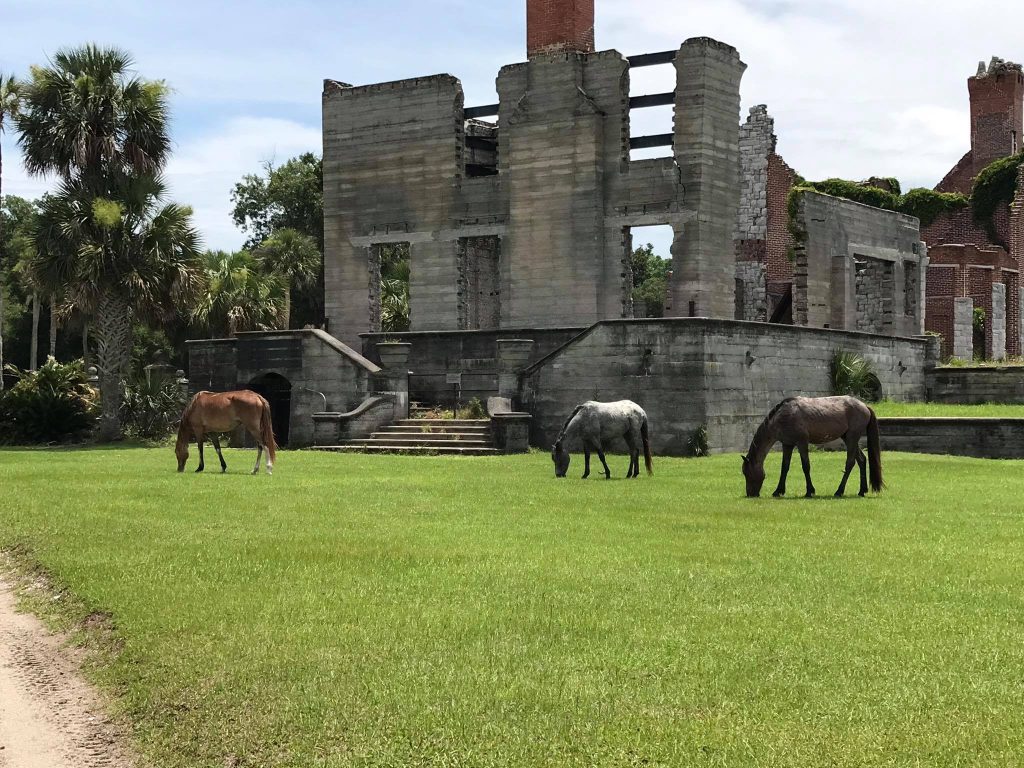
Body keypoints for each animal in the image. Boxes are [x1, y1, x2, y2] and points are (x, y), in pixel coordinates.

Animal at [741, 396, 883, 498]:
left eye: (746, 473)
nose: (750, 494)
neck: (784, 415)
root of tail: (865, 406)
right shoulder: (787, 444)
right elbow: (784, 467)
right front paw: (778, 491)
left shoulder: (802, 442)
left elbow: (806, 466)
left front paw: (809, 491)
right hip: (848, 438)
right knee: (862, 460)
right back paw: (862, 490)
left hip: (852, 437)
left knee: (850, 463)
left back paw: (839, 491)